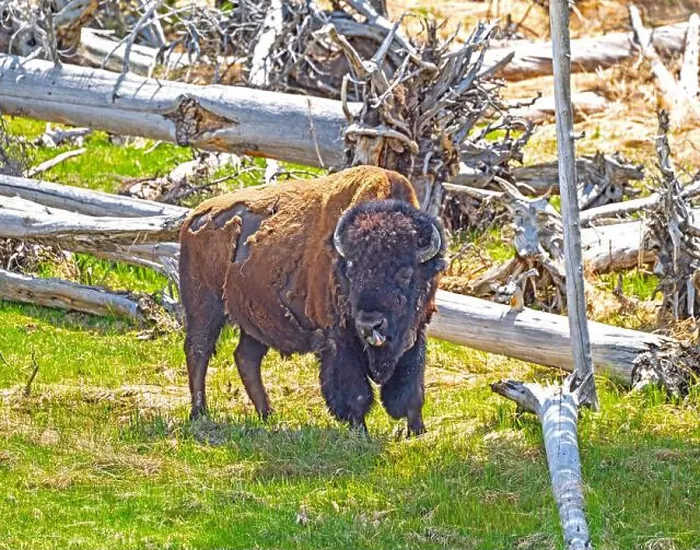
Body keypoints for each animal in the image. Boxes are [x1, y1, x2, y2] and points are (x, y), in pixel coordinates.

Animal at [179, 165, 446, 435]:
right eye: (351, 270)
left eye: (406, 272)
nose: (370, 324)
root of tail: (194, 217)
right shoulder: (339, 339)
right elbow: (356, 393)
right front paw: (361, 431)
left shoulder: (415, 335)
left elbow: (411, 390)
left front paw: (417, 432)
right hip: (204, 308)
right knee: (198, 351)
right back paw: (200, 413)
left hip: (254, 321)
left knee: (246, 358)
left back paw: (268, 415)